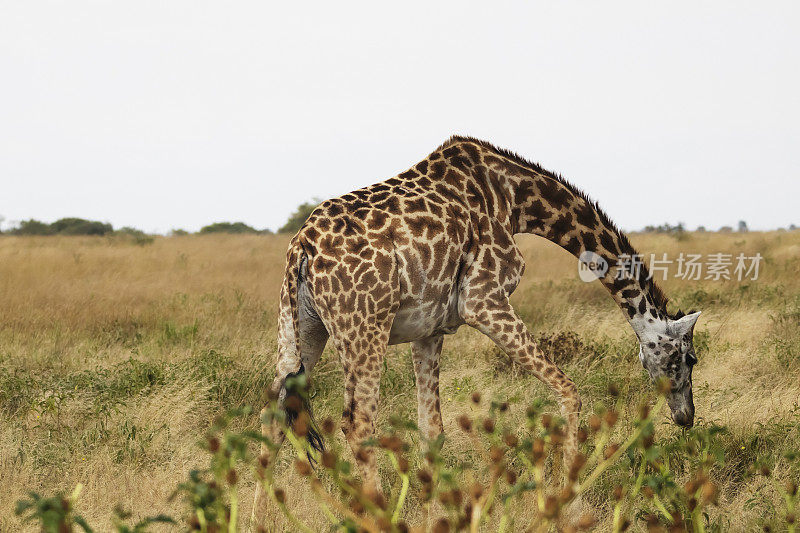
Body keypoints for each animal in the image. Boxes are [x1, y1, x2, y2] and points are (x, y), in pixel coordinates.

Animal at [253, 136, 704, 516]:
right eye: (689, 359)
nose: (686, 416)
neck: (515, 200)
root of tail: (302, 248)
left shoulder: (430, 330)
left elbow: (431, 428)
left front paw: (437, 515)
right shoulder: (482, 300)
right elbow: (568, 390)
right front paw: (568, 502)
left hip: (301, 329)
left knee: (273, 409)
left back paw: (263, 518)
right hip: (365, 325)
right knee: (358, 420)